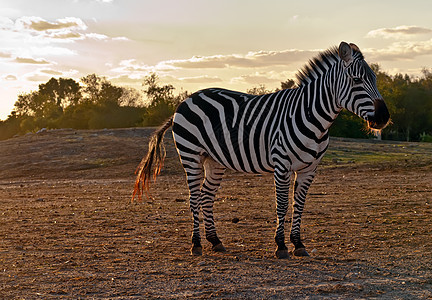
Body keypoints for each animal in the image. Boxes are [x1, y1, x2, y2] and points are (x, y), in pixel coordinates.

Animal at [132, 41, 392, 258]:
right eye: (357, 80)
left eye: (375, 80)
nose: (384, 118)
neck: (312, 116)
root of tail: (185, 100)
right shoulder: (282, 164)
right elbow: (282, 204)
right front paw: (281, 246)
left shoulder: (309, 169)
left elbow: (299, 205)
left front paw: (298, 244)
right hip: (191, 155)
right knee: (194, 198)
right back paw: (196, 245)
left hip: (214, 161)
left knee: (206, 196)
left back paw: (215, 241)